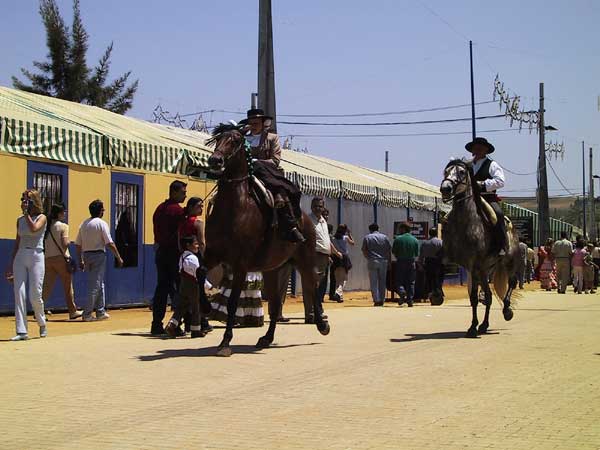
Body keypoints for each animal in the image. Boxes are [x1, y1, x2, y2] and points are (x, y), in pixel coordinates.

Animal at [205, 123, 328, 356]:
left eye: (235, 140)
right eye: (217, 139)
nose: (215, 160)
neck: (235, 208)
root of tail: (305, 219)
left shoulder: (240, 264)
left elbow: (233, 303)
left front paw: (225, 342)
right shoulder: (213, 256)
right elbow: (197, 275)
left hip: (305, 260)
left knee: (312, 286)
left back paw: (322, 323)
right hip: (273, 268)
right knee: (275, 304)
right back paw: (267, 337)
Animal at [438, 158, 516, 338]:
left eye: (461, 172)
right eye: (446, 172)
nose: (445, 188)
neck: (464, 223)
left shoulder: (474, 264)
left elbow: (475, 297)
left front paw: (473, 327)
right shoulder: (455, 260)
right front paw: (436, 295)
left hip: (506, 261)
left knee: (512, 282)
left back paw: (507, 311)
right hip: (485, 269)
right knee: (488, 295)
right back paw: (484, 325)